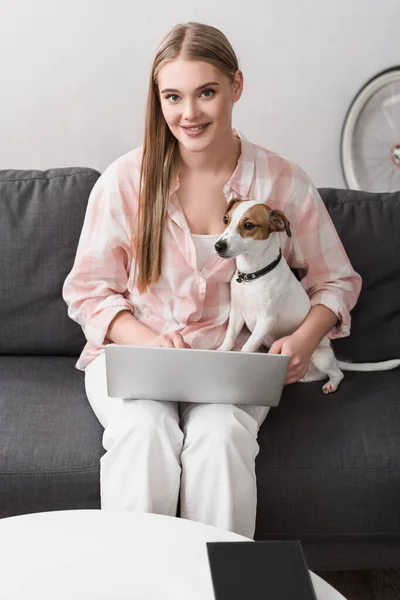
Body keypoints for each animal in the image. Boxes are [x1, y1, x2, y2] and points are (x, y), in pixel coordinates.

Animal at [216, 198, 400, 394]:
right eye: (226, 219)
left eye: (248, 225)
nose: (218, 246)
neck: (252, 275)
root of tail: (333, 355)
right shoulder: (237, 313)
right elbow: (230, 337)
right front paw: (221, 351)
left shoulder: (266, 319)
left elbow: (248, 345)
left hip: (320, 356)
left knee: (338, 373)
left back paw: (331, 384)